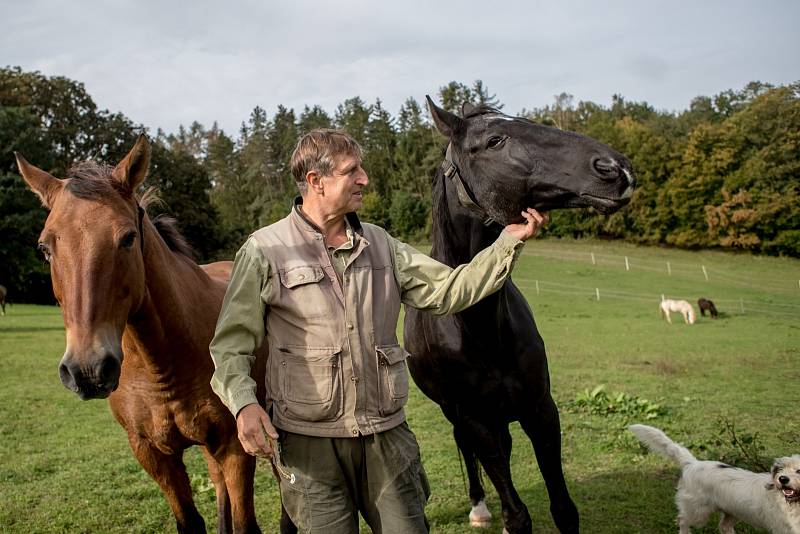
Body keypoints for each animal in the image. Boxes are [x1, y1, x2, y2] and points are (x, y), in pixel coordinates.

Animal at [15, 136, 268, 532]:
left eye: (127, 238)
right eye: (45, 248)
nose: (87, 369)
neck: (163, 363)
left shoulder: (235, 445)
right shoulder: (149, 451)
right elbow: (190, 521)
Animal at [406, 97, 636, 534]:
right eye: (495, 140)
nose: (616, 168)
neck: (477, 325)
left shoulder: (540, 410)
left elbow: (563, 508)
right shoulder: (477, 421)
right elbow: (516, 514)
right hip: (458, 415)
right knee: (466, 448)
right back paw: (479, 506)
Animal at [632, 426, 800, 532]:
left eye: (798, 470)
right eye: (781, 469)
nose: (782, 479)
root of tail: (693, 463)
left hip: (731, 511)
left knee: (724, 527)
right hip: (697, 512)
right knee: (682, 520)